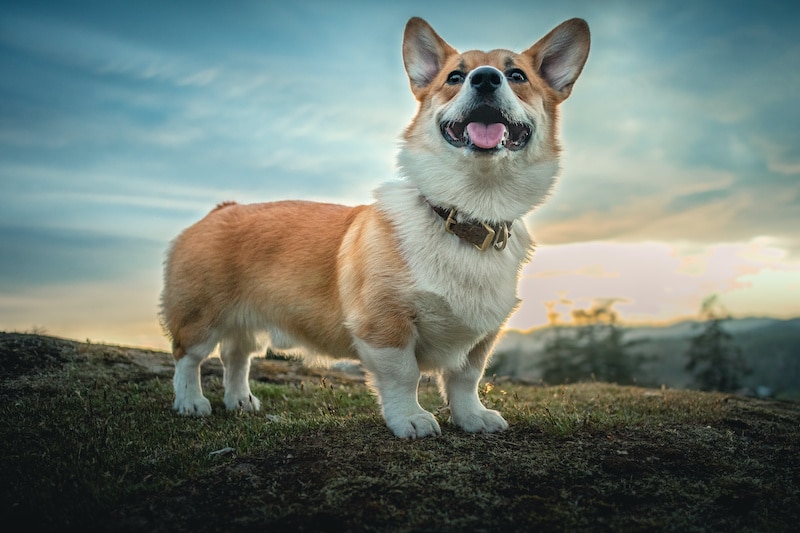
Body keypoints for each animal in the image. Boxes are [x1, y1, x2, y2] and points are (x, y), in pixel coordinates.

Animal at [161, 15, 588, 436]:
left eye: (516, 75)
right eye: (454, 76)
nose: (484, 78)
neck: (466, 213)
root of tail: (220, 210)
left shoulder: (481, 334)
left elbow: (466, 379)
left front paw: (473, 418)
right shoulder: (385, 323)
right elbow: (404, 375)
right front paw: (411, 419)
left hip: (245, 323)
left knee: (237, 355)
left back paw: (240, 401)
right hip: (200, 315)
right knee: (188, 357)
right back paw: (190, 402)